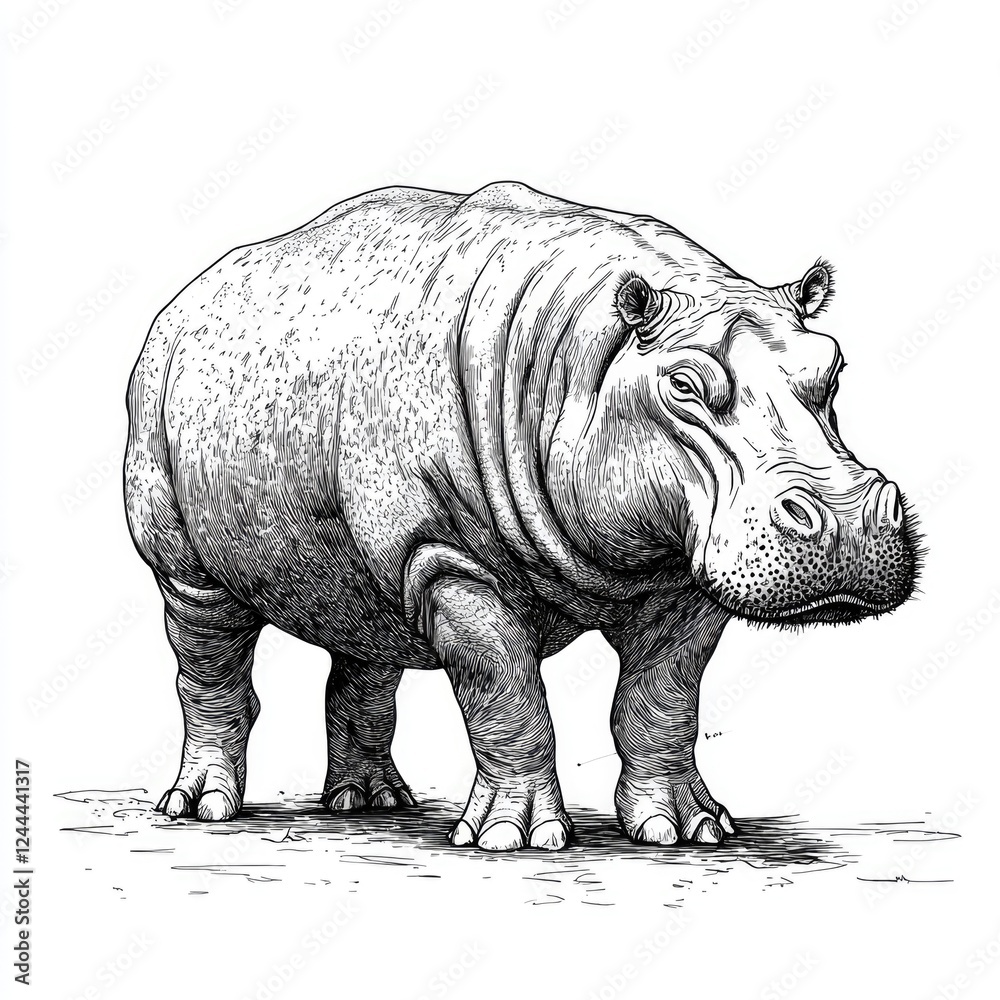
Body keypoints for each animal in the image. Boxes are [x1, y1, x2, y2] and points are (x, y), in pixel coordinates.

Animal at [124, 181, 919, 852]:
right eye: (686, 386)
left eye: (833, 370)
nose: (848, 520)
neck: (583, 359)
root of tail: (179, 303)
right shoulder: (449, 557)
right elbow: (505, 694)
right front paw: (515, 840)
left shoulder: (681, 577)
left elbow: (662, 701)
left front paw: (687, 829)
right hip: (175, 513)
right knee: (208, 649)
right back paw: (201, 810)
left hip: (347, 539)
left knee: (364, 635)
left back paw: (371, 805)